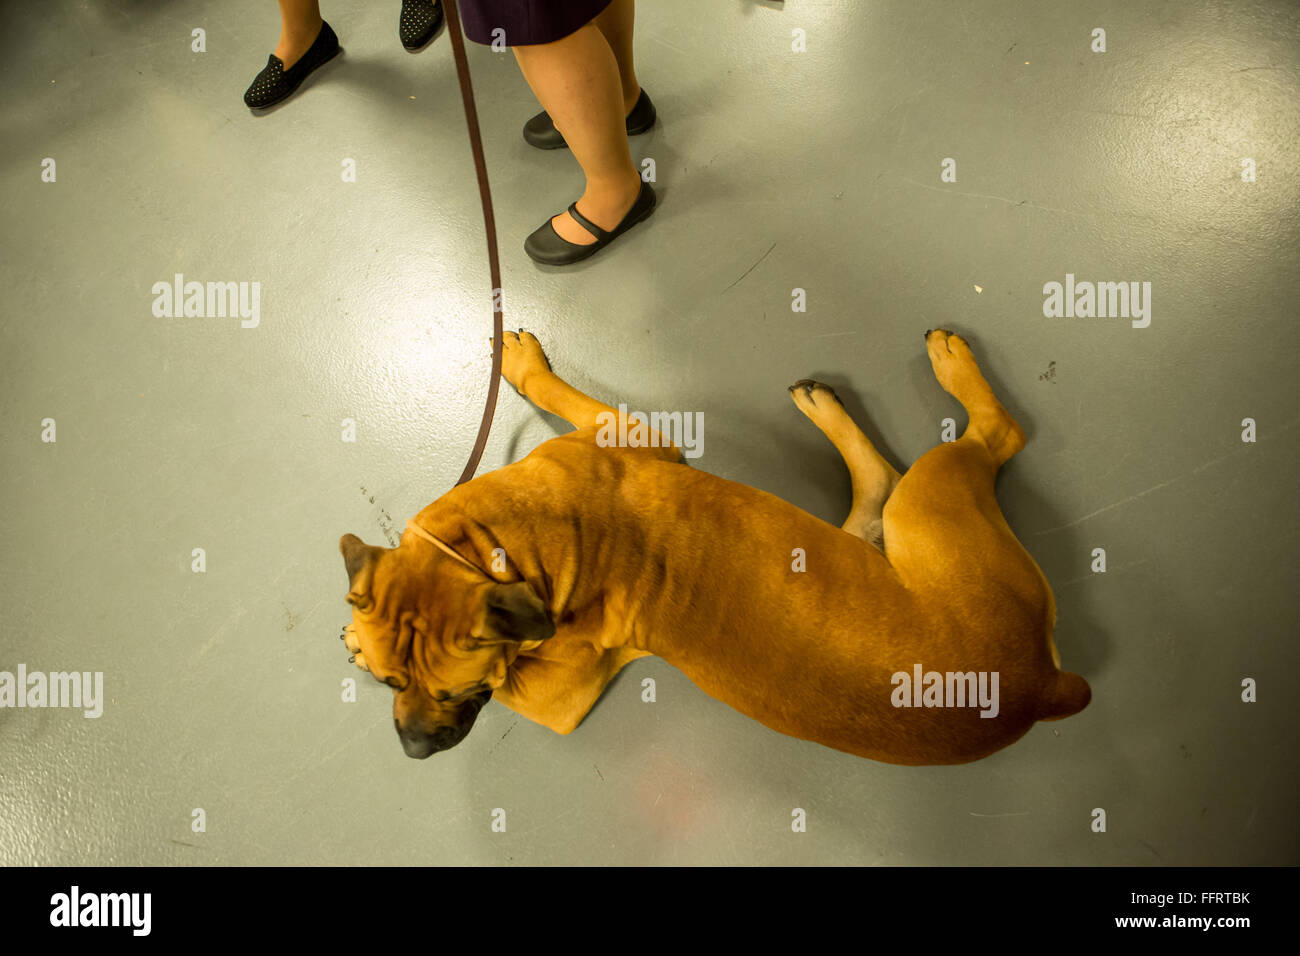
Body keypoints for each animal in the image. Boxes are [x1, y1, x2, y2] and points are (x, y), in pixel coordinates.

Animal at [340, 332, 1092, 764]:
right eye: (390, 683)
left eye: (465, 690)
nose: (416, 750)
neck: (505, 542)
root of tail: (1039, 689)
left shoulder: (555, 699)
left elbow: (553, 389)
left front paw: (522, 363)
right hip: (889, 526)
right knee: (878, 489)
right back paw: (823, 406)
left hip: (932, 491)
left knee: (1001, 434)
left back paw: (950, 362)